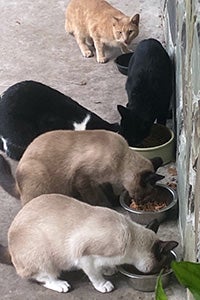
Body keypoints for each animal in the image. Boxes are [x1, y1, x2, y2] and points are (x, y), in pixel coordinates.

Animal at [0, 130, 163, 207]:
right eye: (144, 196)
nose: (140, 204)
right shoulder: (83, 178)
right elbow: (93, 198)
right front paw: (103, 206)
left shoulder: (102, 180)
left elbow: (108, 191)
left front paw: (114, 202)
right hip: (40, 176)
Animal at [0, 193, 178, 294]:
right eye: (162, 267)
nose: (164, 270)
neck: (130, 237)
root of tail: (10, 250)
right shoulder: (85, 256)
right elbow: (94, 276)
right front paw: (104, 285)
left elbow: (103, 267)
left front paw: (109, 270)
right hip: (43, 255)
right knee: (44, 278)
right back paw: (61, 285)